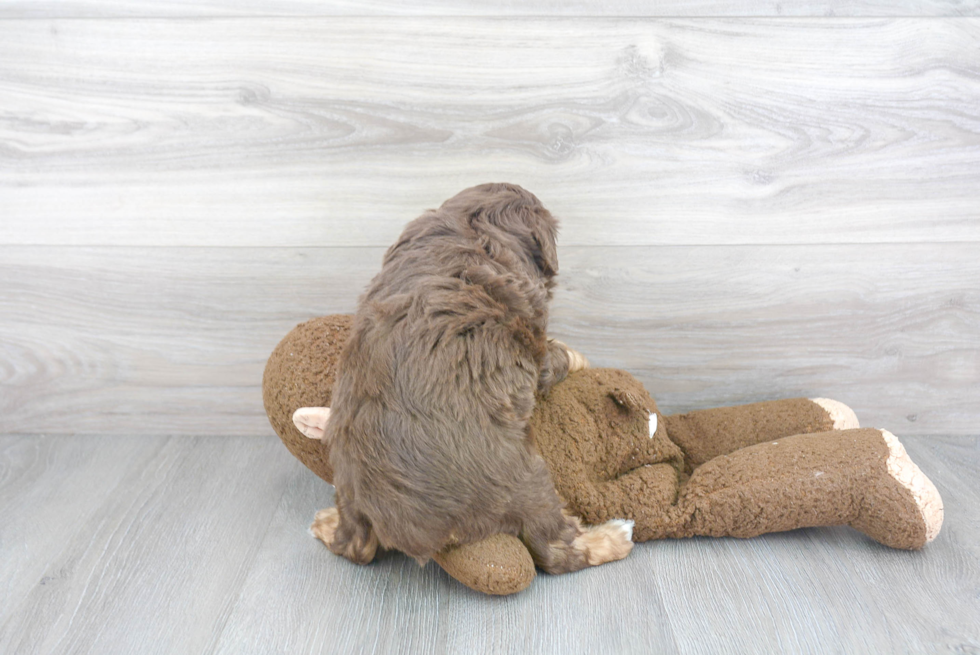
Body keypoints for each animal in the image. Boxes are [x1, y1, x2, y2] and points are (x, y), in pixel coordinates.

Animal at [304, 183, 636, 576]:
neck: (472, 226)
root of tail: (406, 527)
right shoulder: (534, 346)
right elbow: (557, 358)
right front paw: (579, 357)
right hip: (526, 479)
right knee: (554, 549)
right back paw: (614, 537)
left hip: (348, 489)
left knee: (355, 546)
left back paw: (326, 523)